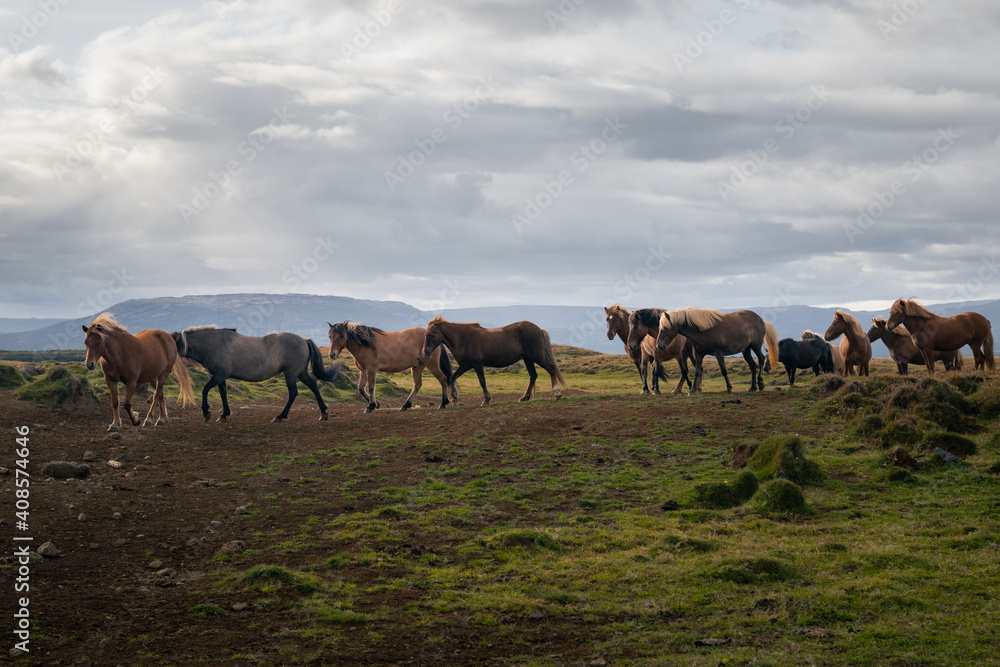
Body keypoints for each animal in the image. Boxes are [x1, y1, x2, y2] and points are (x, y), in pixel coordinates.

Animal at [171, 326, 339, 423]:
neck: (214, 344)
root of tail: (304, 340)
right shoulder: (221, 377)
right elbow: (223, 394)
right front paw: (224, 414)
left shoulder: (218, 375)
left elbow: (205, 389)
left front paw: (206, 412)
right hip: (300, 373)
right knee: (314, 386)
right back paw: (323, 412)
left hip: (291, 374)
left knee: (293, 393)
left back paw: (280, 416)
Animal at [328, 321, 458, 413]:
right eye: (330, 336)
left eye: (341, 336)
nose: (332, 354)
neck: (366, 344)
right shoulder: (363, 371)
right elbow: (361, 388)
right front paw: (376, 404)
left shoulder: (371, 370)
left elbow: (371, 387)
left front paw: (371, 406)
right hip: (417, 367)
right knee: (417, 385)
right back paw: (405, 405)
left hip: (432, 365)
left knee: (442, 379)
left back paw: (443, 403)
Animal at [422, 316, 567, 406]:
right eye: (425, 334)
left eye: (431, 335)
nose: (425, 353)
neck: (464, 339)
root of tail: (539, 329)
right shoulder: (465, 366)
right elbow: (452, 378)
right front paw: (454, 398)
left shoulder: (477, 365)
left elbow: (482, 382)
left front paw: (486, 400)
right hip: (528, 359)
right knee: (533, 376)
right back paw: (524, 397)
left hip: (537, 357)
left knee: (551, 369)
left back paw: (556, 393)